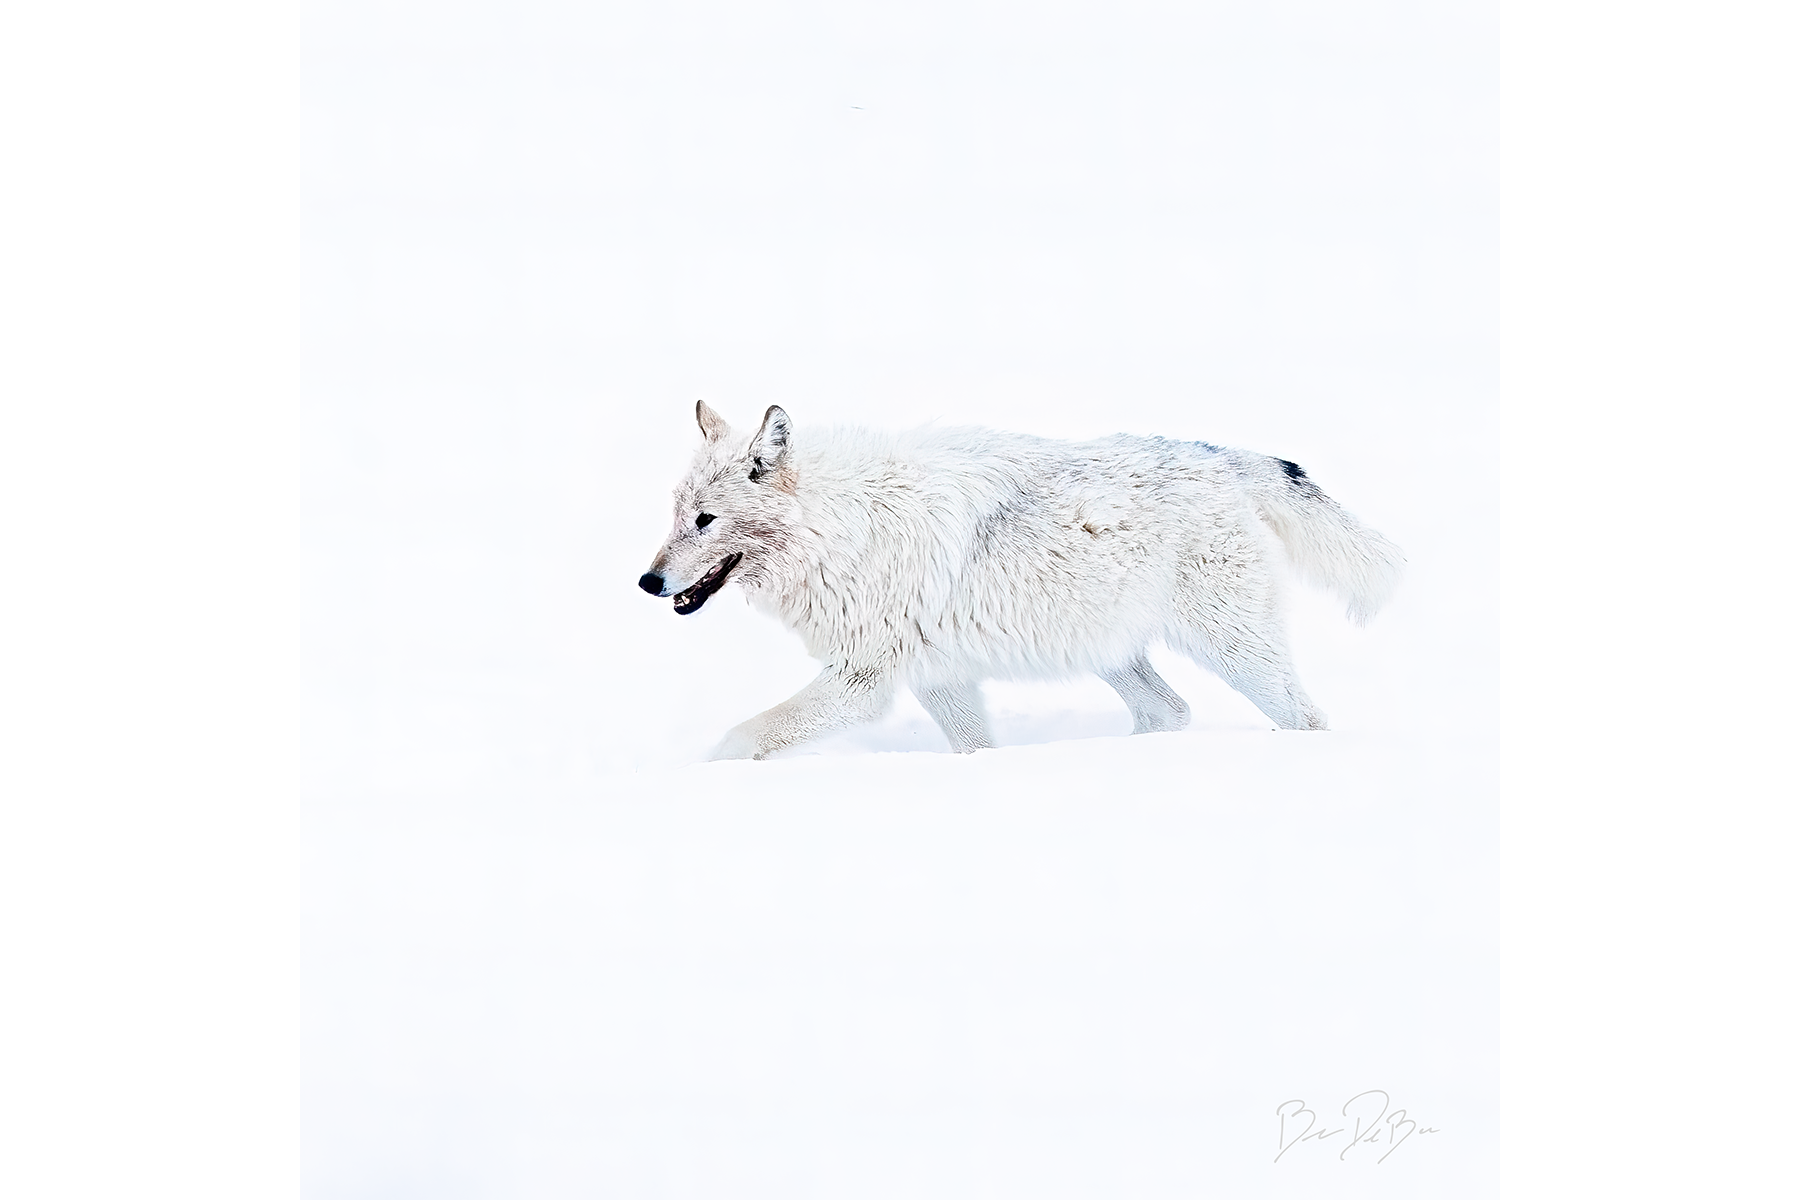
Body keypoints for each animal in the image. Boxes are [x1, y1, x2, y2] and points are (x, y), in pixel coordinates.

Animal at [639, 402, 1403, 760]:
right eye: (676, 515)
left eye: (705, 520)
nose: (648, 581)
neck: (844, 529)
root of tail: (1225, 458)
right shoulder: (939, 679)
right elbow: (976, 749)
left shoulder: (862, 682)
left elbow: (740, 740)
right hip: (1113, 653)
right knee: (1170, 711)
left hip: (1236, 653)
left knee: (1306, 719)